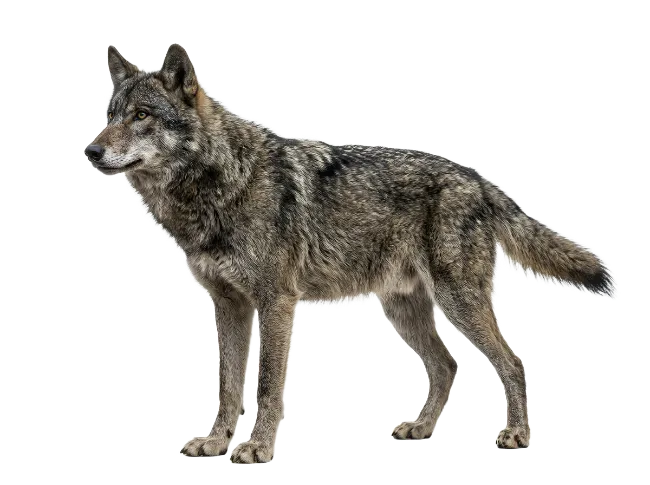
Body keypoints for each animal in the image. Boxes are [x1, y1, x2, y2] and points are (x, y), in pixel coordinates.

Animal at [85, 44, 615, 463]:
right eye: (111, 115)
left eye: (142, 116)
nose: (90, 151)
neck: (222, 182)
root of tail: (480, 181)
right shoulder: (228, 306)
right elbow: (229, 385)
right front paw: (216, 443)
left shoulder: (275, 303)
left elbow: (268, 385)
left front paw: (256, 448)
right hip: (404, 310)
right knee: (448, 365)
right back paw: (422, 429)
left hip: (457, 302)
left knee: (511, 362)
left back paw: (516, 435)